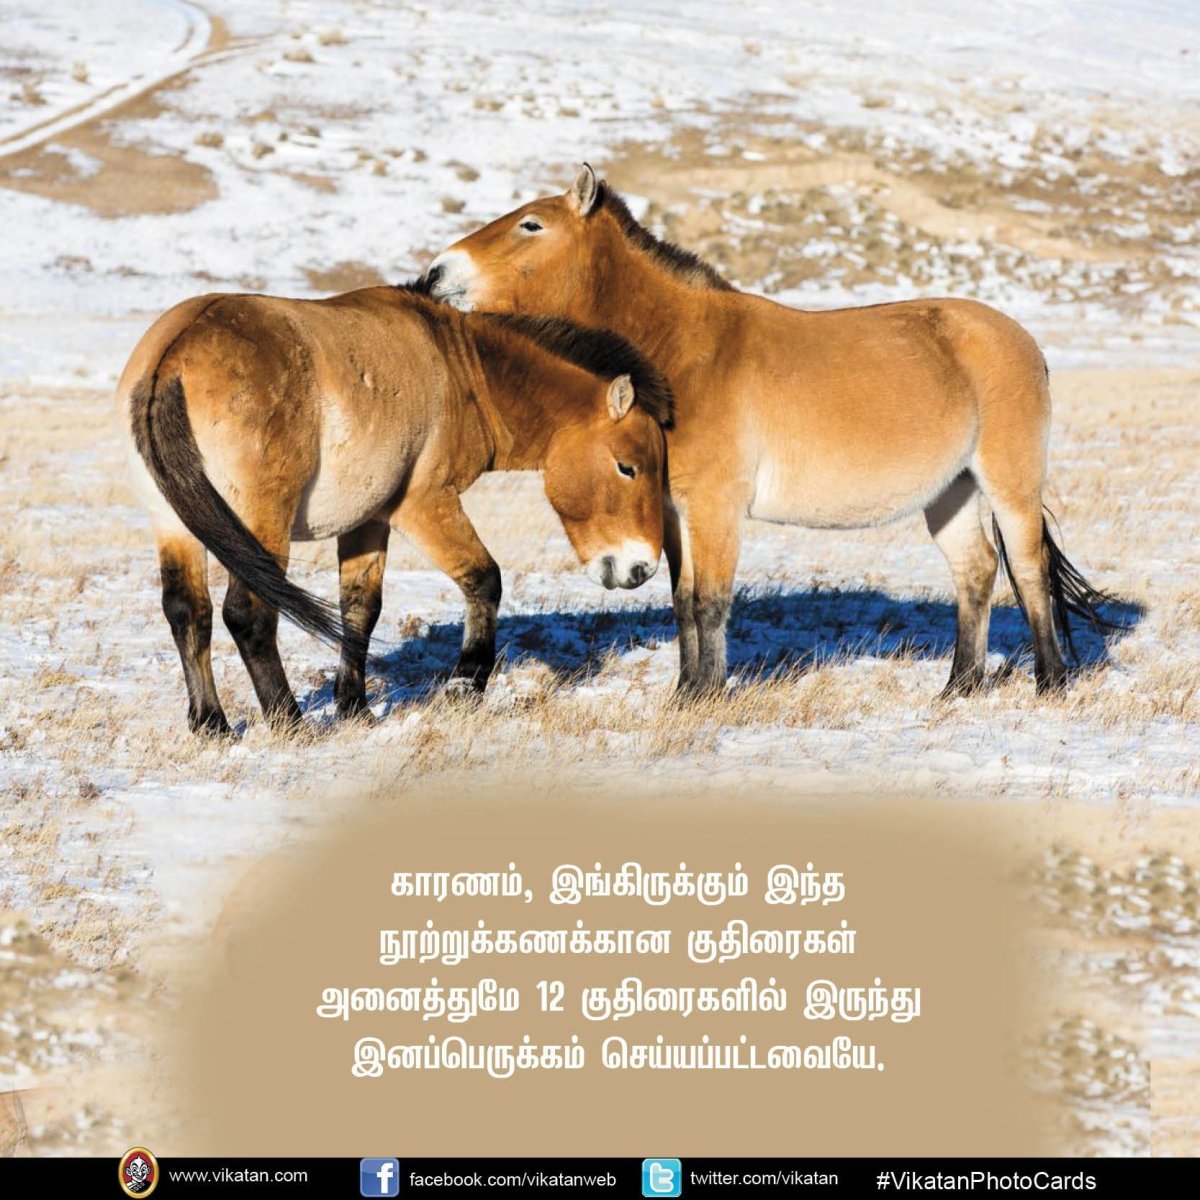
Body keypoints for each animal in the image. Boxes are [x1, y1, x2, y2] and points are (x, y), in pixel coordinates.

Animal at [117, 282, 672, 735]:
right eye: (627, 467)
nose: (640, 568)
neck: (458, 369)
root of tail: (173, 357)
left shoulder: (368, 522)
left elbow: (360, 610)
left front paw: (355, 706)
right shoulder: (424, 505)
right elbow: (483, 580)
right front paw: (465, 685)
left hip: (175, 525)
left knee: (189, 611)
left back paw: (211, 724)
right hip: (262, 524)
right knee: (249, 613)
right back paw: (288, 719)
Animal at [427, 164, 1114, 699]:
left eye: (531, 225)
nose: (435, 273)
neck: (689, 353)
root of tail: (1023, 341)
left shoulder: (718, 507)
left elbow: (710, 601)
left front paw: (705, 695)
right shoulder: (674, 511)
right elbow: (682, 601)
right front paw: (685, 691)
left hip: (1008, 482)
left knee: (1027, 569)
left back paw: (1051, 682)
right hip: (952, 491)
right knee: (976, 572)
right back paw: (959, 687)